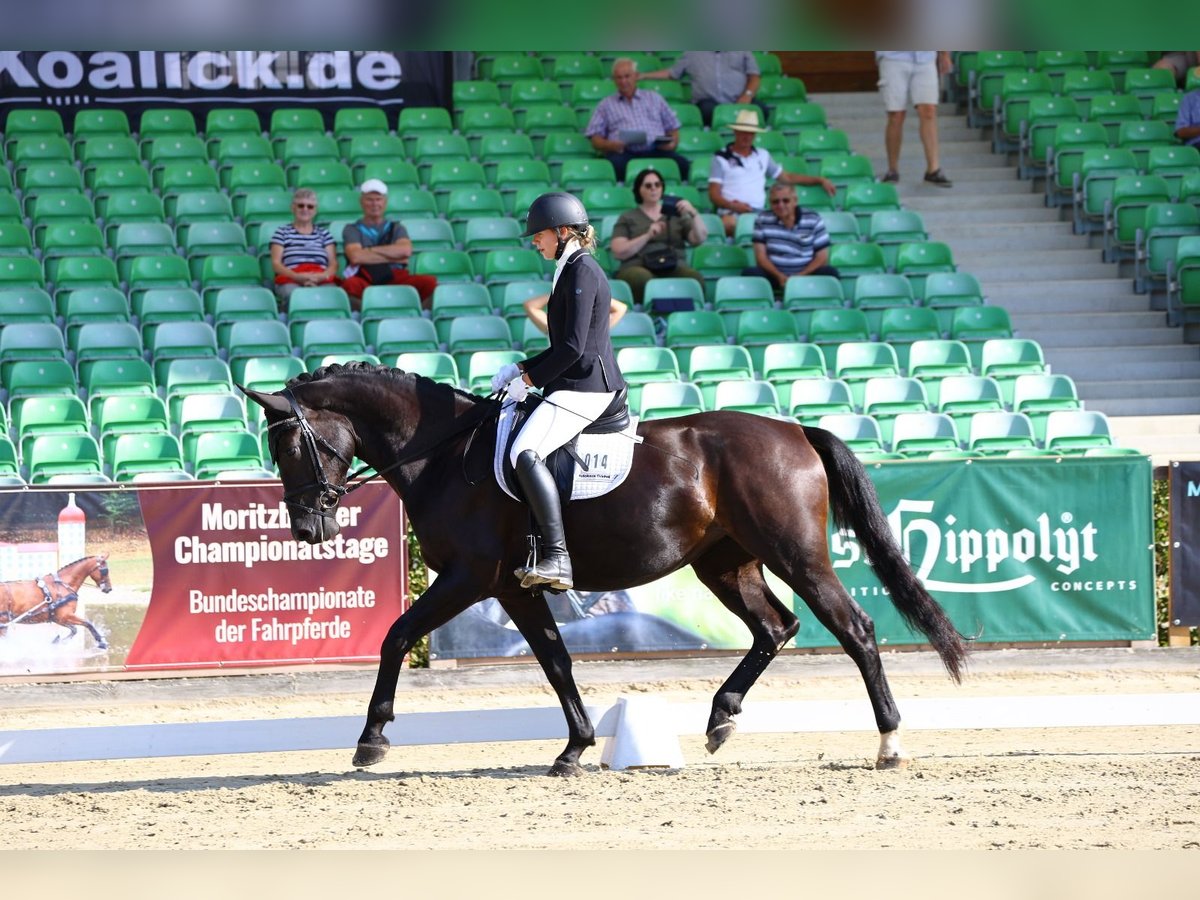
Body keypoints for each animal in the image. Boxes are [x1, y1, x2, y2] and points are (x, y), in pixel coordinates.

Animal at [243, 364, 964, 777]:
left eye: (290, 444)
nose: (307, 529)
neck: (446, 455)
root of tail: (794, 430)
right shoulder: (511, 587)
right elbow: (556, 661)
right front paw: (576, 748)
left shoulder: (467, 578)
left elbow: (395, 637)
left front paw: (370, 740)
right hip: (726, 565)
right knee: (775, 627)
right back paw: (721, 718)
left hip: (796, 555)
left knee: (855, 629)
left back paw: (889, 744)